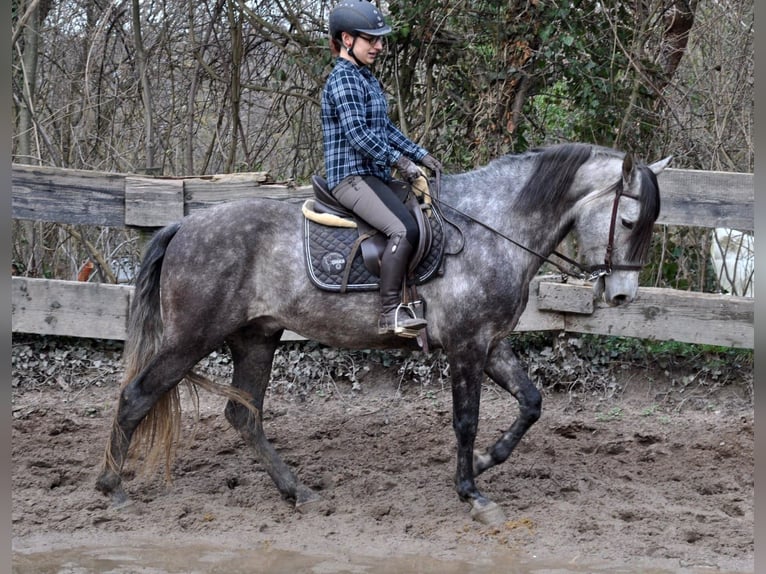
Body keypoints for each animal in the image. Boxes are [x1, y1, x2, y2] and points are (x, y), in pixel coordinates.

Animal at [94, 143, 672, 528]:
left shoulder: (490, 342)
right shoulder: (466, 345)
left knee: (244, 417)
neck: (491, 228)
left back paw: (297, 491)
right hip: (191, 337)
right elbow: (466, 420)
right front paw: (471, 492)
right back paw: (111, 488)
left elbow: (531, 403)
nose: (622, 295)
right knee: (137, 396)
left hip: (256, 338)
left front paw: (487, 461)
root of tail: (183, 227)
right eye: (629, 220)